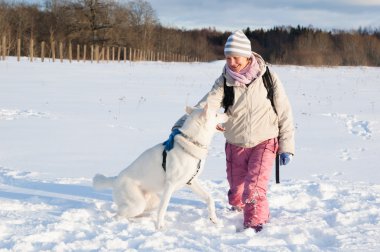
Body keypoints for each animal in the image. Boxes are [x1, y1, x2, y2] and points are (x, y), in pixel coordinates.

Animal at [93, 103, 227, 229]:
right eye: (216, 114)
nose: (227, 114)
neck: (191, 142)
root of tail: (115, 179)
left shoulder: (191, 182)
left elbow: (209, 198)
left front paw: (214, 219)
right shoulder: (170, 184)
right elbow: (163, 209)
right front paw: (159, 227)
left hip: (150, 201)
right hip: (137, 204)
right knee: (118, 215)